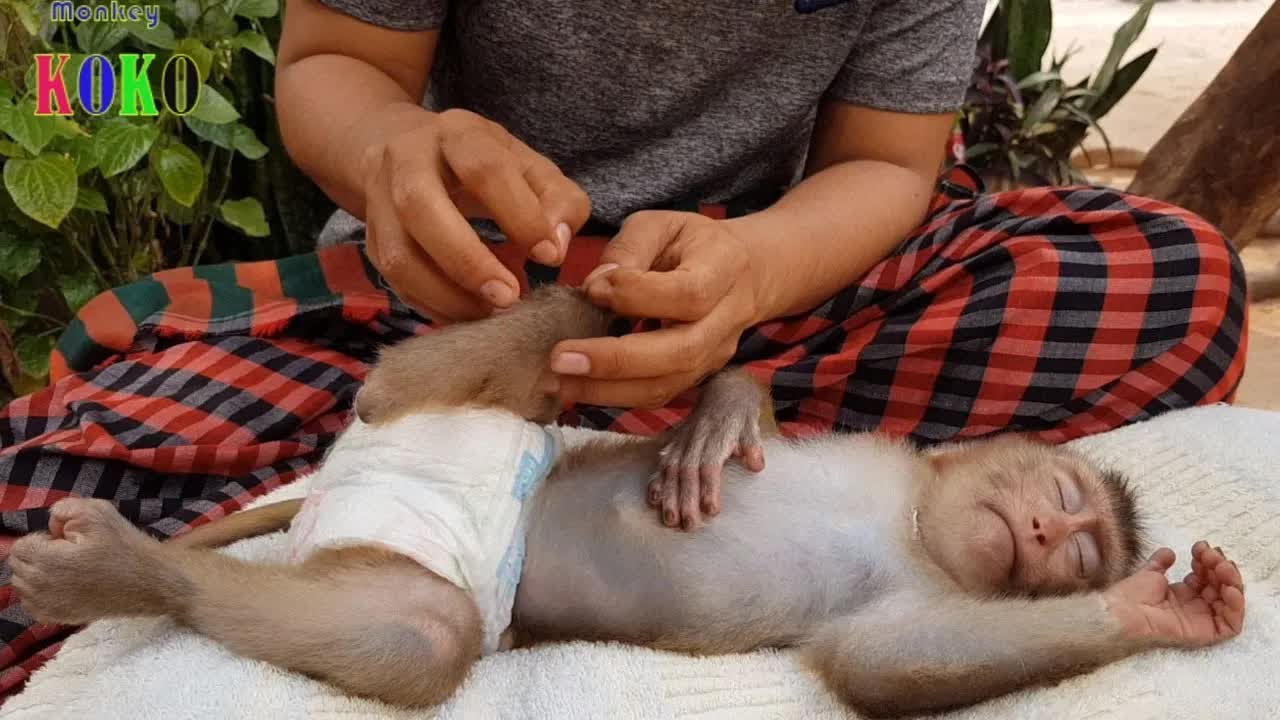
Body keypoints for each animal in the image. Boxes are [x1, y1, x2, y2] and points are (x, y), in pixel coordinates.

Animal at [7, 286, 1246, 718]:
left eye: (1078, 553)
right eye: (1058, 494)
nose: (1042, 531)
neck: (909, 523)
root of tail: (342, 487)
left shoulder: (912, 600)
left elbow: (882, 663)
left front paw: (1155, 612)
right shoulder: (893, 457)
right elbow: (782, 421)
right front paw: (722, 410)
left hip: (416, 540)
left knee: (416, 631)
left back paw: (125, 567)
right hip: (455, 418)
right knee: (486, 363)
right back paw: (584, 296)